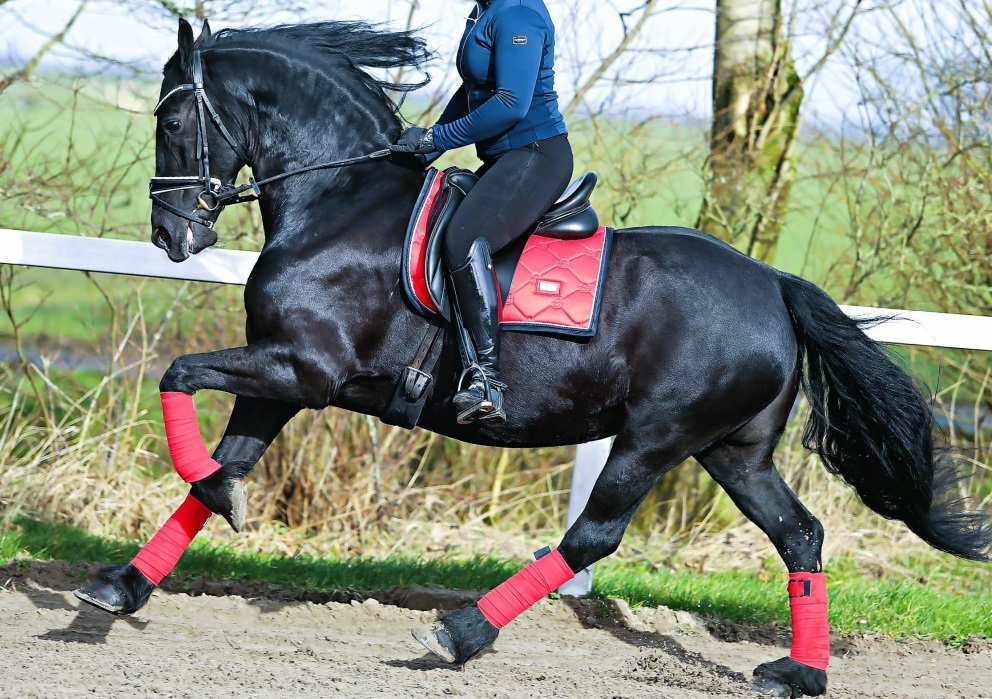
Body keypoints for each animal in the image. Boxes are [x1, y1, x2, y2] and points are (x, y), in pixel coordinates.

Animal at [79, 17, 992, 699]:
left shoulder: (301, 367)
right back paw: (800, 673)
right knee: (800, 534)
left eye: (169, 120)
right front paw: (126, 580)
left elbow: (178, 377)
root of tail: (773, 282)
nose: (171, 236)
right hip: (733, 451)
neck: (337, 201)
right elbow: (215, 464)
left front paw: (210, 503)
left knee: (593, 536)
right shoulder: (279, 375)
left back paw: (461, 629)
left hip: (655, 437)